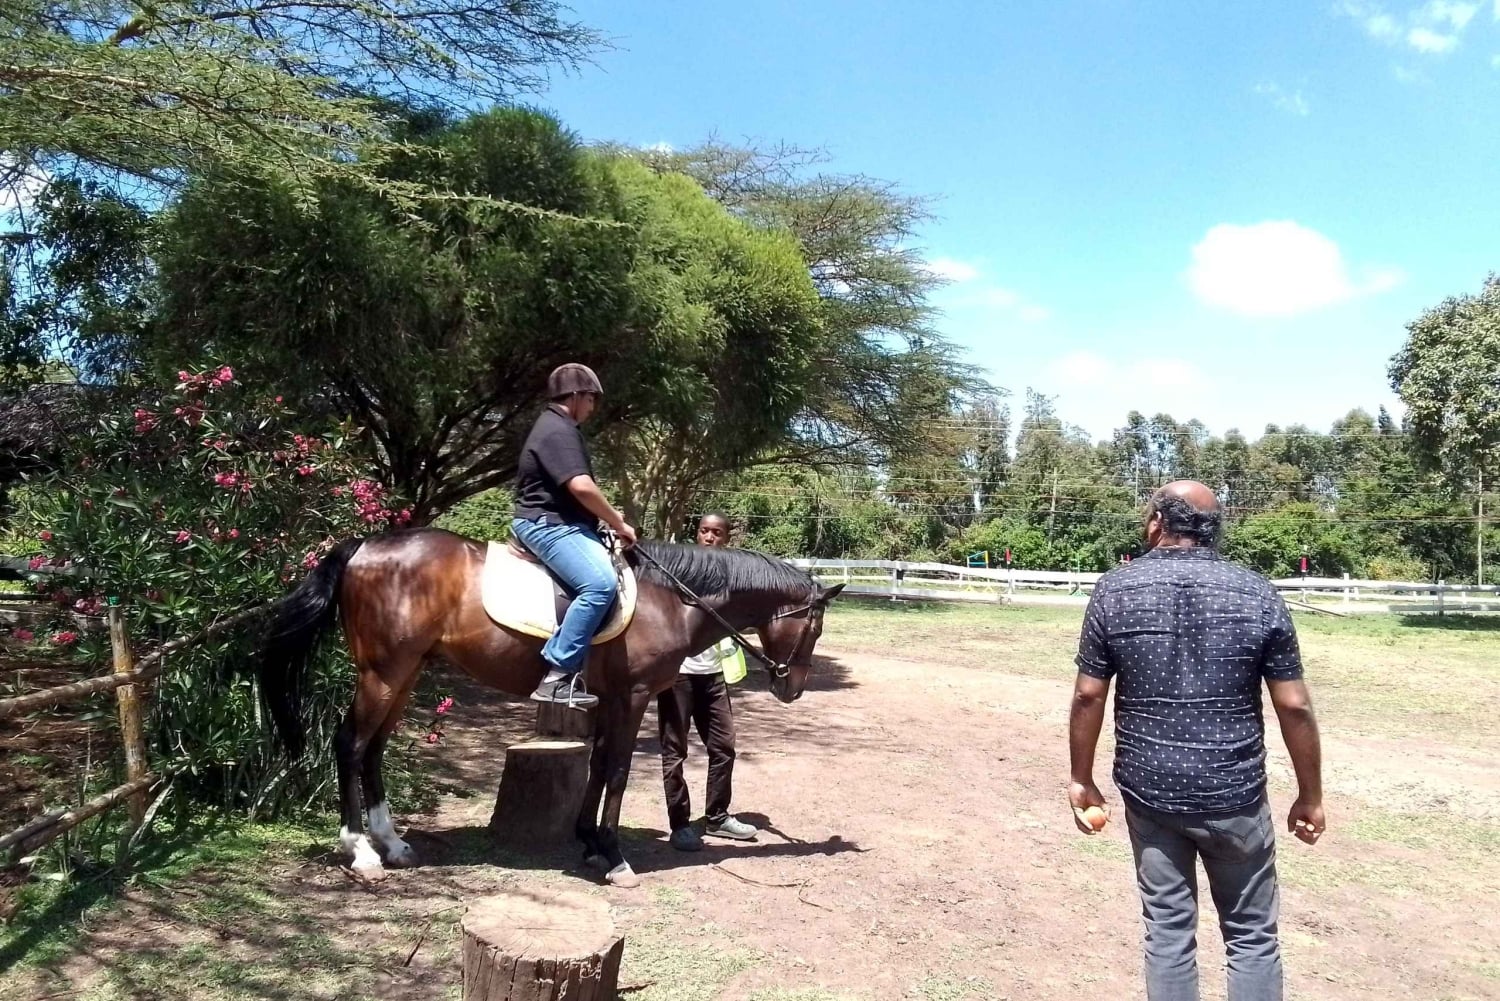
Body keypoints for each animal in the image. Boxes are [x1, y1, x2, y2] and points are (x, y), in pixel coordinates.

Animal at [256, 527, 844, 886]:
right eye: (814, 627)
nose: (791, 689)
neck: (673, 597)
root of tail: (363, 547)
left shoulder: (609, 698)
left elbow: (600, 765)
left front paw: (589, 842)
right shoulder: (632, 696)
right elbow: (620, 770)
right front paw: (614, 856)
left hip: (405, 672)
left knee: (373, 748)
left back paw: (393, 845)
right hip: (383, 673)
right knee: (350, 744)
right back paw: (360, 852)